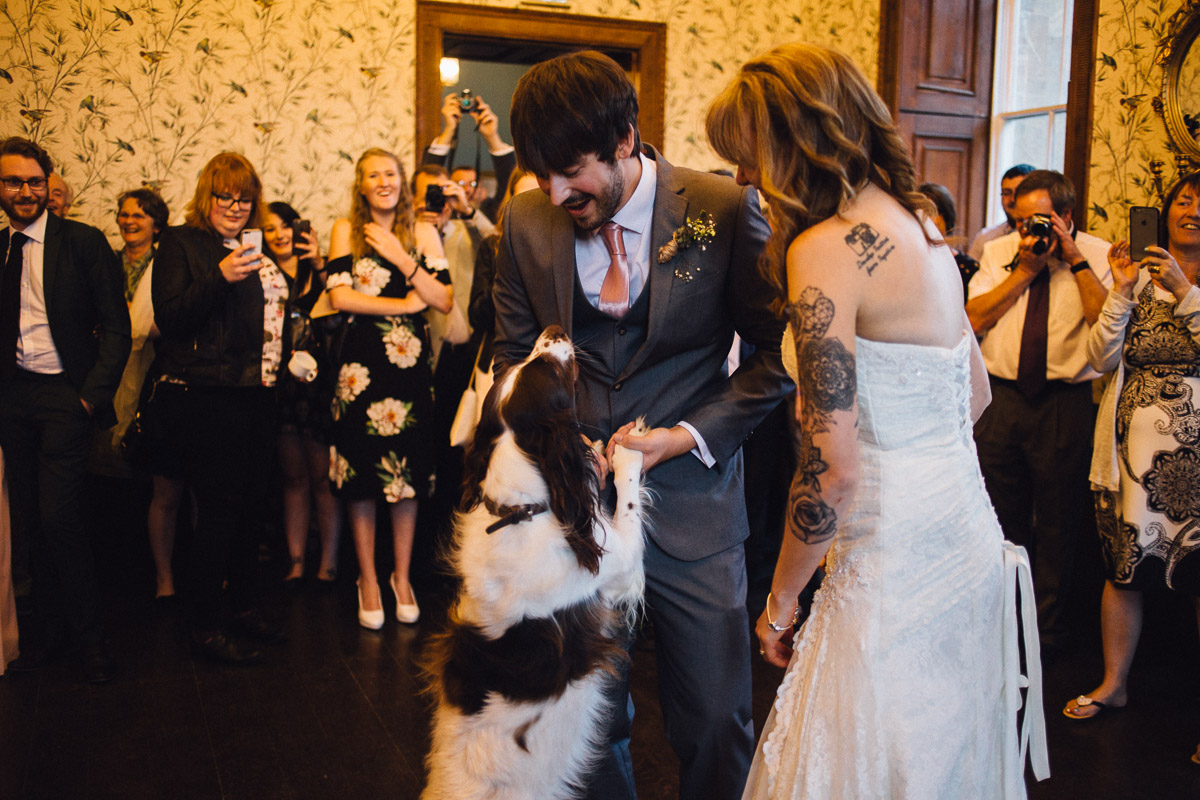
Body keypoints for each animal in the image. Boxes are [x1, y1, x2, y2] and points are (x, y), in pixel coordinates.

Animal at [422, 326, 648, 800]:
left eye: (526, 362)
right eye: (547, 367)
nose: (554, 330)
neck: (519, 509)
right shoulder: (618, 562)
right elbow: (628, 500)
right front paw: (629, 452)